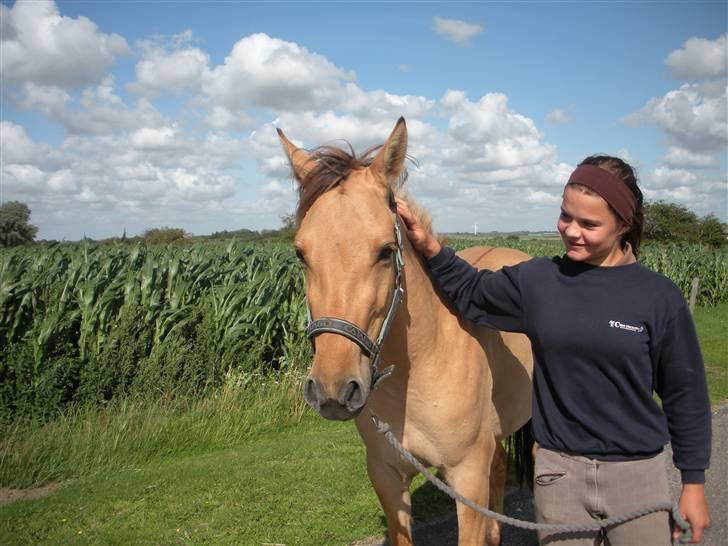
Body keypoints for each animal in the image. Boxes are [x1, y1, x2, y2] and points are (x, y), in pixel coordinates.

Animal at [278, 117, 536, 540]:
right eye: (301, 254)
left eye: (385, 251)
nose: (333, 390)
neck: (421, 367)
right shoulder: (386, 475)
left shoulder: (467, 479)